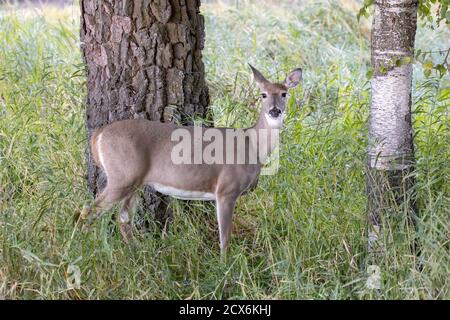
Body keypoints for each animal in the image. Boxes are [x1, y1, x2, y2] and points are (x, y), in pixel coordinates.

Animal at [79, 65, 302, 255]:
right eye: (263, 94)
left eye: (284, 93)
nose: (274, 110)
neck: (252, 146)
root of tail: (98, 135)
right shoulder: (226, 189)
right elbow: (225, 238)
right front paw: (225, 267)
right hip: (122, 176)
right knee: (88, 211)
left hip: (134, 182)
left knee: (123, 219)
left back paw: (138, 252)